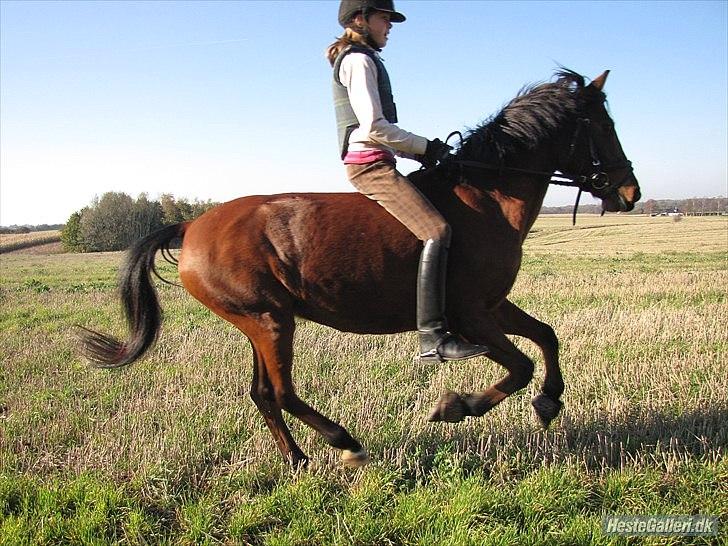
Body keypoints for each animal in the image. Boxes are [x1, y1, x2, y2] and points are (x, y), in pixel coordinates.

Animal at [82, 70, 644, 466]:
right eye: (604, 126)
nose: (630, 192)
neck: (487, 197)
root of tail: (191, 225)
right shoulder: (470, 316)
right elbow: (521, 365)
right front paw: (457, 407)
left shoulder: (492, 305)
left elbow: (546, 336)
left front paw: (549, 401)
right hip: (269, 322)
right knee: (282, 392)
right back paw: (345, 442)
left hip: (260, 323)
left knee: (263, 394)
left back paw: (299, 460)